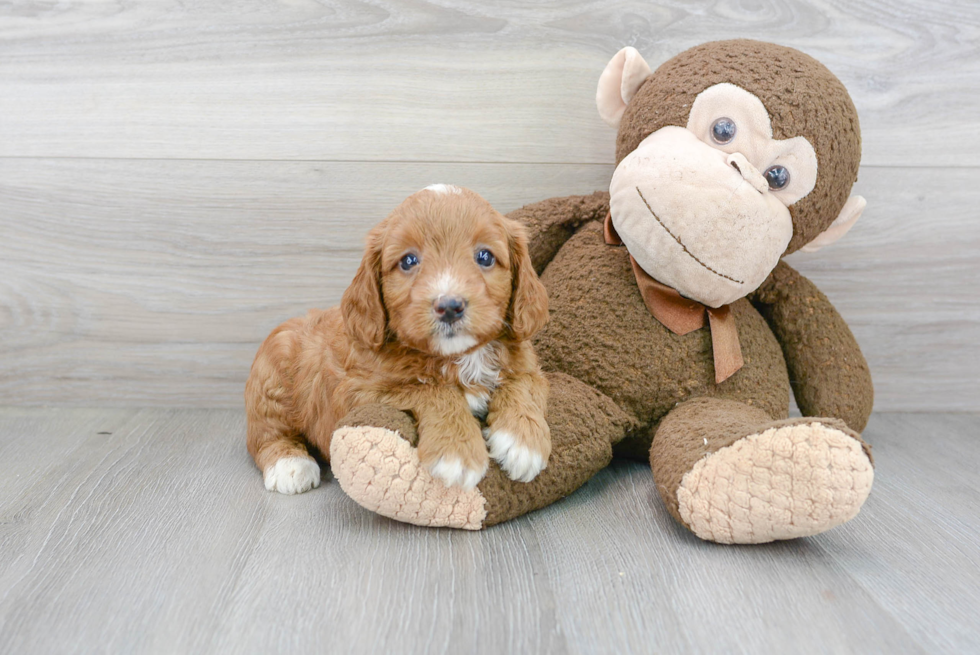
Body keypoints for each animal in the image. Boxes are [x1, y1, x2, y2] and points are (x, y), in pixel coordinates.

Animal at [243, 182, 552, 494]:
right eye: (408, 261)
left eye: (485, 257)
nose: (449, 306)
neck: (457, 356)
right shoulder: (356, 391)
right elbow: (432, 390)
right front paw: (456, 451)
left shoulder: (530, 367)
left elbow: (522, 383)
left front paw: (523, 441)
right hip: (272, 380)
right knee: (266, 435)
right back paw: (290, 465)